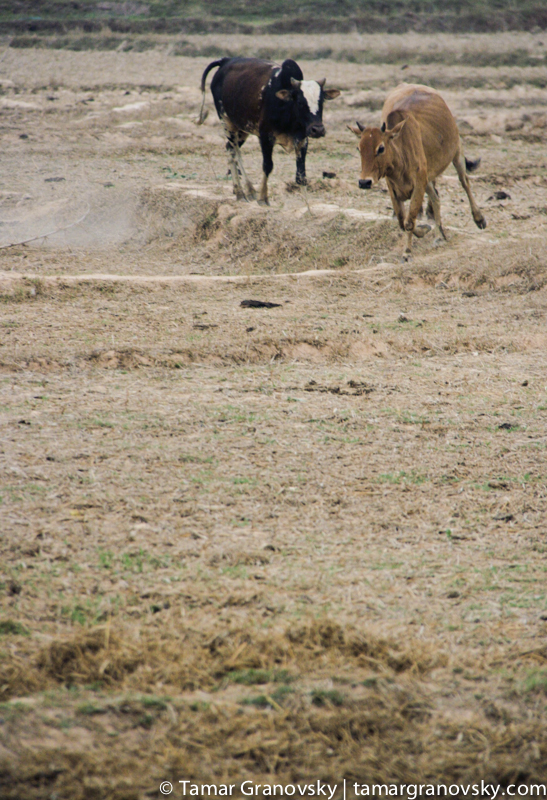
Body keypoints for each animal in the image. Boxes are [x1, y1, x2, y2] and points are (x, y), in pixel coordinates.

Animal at [198, 57, 340, 205]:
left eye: (322, 102)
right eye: (300, 102)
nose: (317, 130)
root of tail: (225, 60)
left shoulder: (302, 140)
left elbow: (301, 175)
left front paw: (306, 204)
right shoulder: (265, 137)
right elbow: (268, 166)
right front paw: (263, 198)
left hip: (242, 128)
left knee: (232, 149)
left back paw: (248, 190)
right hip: (227, 122)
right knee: (233, 153)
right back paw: (241, 193)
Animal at [349, 83, 486, 260]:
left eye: (381, 148)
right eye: (358, 148)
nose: (364, 182)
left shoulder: (419, 185)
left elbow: (409, 219)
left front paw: (407, 251)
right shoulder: (394, 187)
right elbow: (402, 220)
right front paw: (424, 230)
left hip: (457, 152)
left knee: (465, 183)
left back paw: (479, 219)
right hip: (429, 176)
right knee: (436, 197)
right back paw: (439, 235)